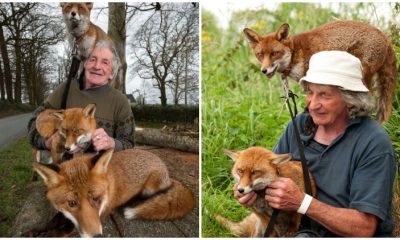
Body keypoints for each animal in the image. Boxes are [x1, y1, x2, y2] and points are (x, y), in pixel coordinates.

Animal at [33, 148, 195, 236]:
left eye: (96, 199)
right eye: (71, 203)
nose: (97, 236)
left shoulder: (103, 212)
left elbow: (65, 229)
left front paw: (49, 234)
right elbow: (56, 219)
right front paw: (37, 230)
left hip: (150, 188)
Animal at [244, 19, 396, 123]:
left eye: (274, 53)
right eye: (260, 55)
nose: (264, 70)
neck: (295, 54)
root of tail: (385, 37)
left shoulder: (310, 77)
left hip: (359, 75)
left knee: (368, 99)